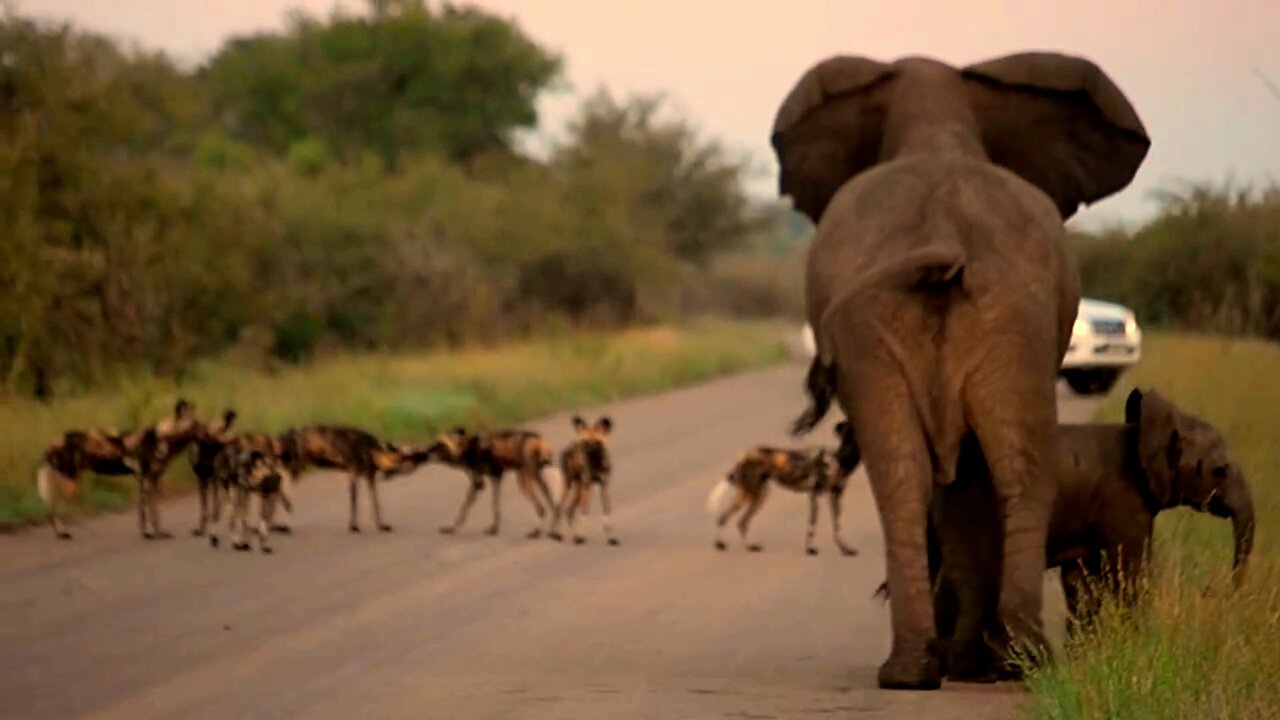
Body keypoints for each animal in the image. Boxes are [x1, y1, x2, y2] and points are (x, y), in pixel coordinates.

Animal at [37, 397, 206, 538]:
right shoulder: (144, 481)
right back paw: (62, 533)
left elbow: (154, 513)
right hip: (69, 483)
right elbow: (144, 511)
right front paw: (148, 534)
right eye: (197, 426)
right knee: (55, 510)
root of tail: (52, 443)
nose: (207, 430)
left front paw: (159, 532)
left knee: (51, 509)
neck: (162, 439)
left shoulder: (152, 482)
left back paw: (60, 533)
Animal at [430, 422, 560, 535]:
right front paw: (494, 528)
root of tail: (538, 441)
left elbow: (464, 508)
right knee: (553, 506)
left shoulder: (478, 484)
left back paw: (536, 532)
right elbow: (495, 506)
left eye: (439, 445)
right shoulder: (496, 478)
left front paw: (451, 528)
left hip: (523, 481)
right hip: (538, 478)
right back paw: (552, 530)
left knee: (541, 509)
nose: (427, 452)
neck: (467, 447)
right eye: (436, 445)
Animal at [545, 415, 614, 543]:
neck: (595, 464)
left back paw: (574, 535)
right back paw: (555, 534)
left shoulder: (604, 486)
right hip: (569, 486)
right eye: (585, 442)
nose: (589, 452)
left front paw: (611, 539)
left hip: (579, 489)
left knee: (569, 510)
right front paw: (582, 536)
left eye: (597, 442)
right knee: (558, 507)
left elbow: (607, 510)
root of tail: (569, 448)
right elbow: (584, 511)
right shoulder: (587, 485)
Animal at [706, 420, 865, 556]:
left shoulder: (835, 497)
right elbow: (812, 526)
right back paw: (733, 545)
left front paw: (845, 549)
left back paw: (739, 546)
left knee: (734, 520)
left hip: (757, 495)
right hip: (752, 495)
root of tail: (745, 455)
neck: (839, 460)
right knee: (732, 520)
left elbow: (837, 526)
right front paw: (810, 550)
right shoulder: (815, 497)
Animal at [773, 53, 1157, 686]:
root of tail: (945, 240)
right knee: (1013, 470)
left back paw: (932, 669)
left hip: (949, 323)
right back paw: (1006, 661)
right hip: (1003, 321)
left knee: (911, 474)